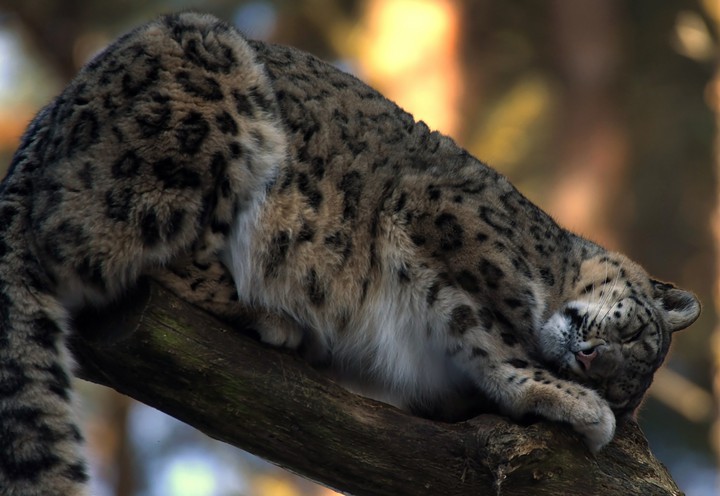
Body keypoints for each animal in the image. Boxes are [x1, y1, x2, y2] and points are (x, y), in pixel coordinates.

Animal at [0, 12, 700, 495]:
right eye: (633, 331)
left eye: (620, 377)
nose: (588, 359)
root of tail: (41, 126)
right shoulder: (444, 222)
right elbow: (492, 328)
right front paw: (566, 400)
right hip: (201, 100)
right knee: (103, 244)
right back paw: (271, 316)